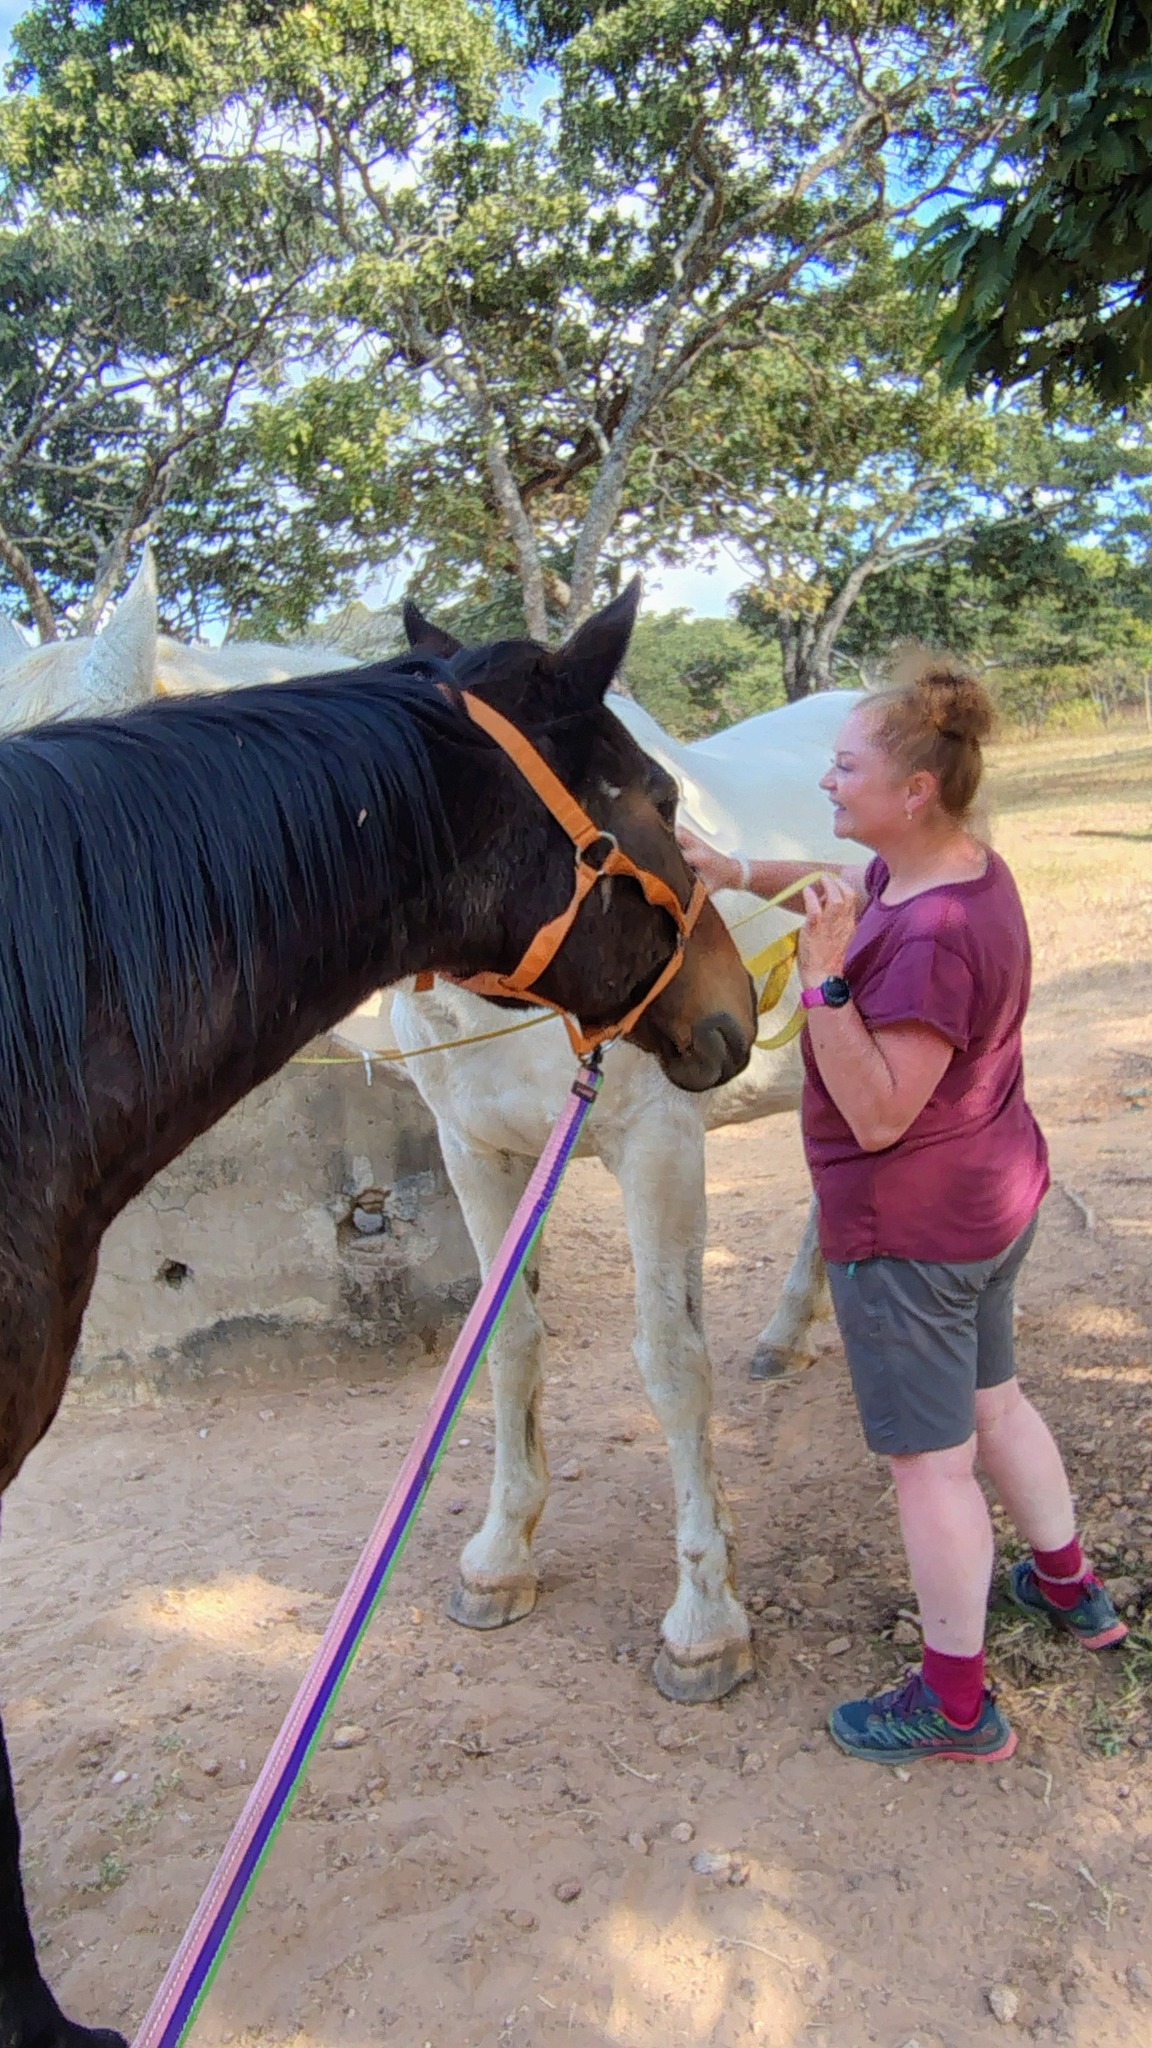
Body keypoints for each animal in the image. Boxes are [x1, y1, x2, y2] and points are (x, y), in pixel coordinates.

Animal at [0, 583, 757, 2048]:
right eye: (647, 795)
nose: (735, 1012)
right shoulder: (480, 1149)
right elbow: (512, 1345)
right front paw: (505, 1555)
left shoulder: (654, 1138)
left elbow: (669, 1363)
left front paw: (703, 1619)